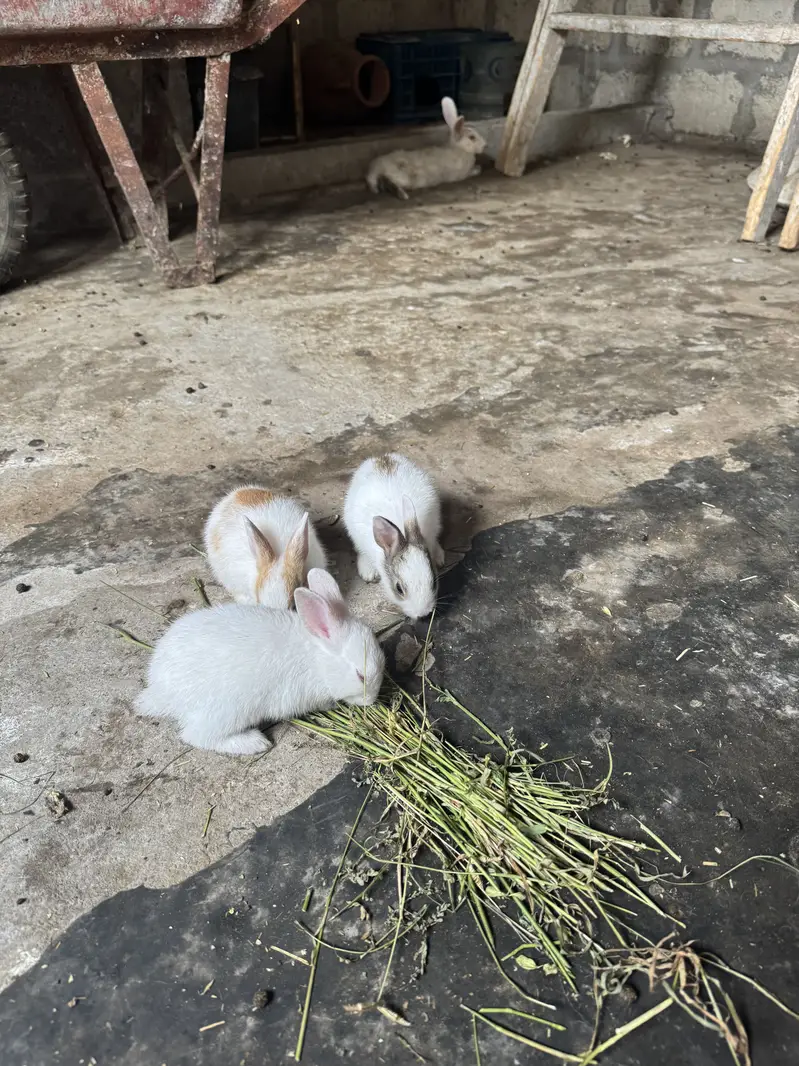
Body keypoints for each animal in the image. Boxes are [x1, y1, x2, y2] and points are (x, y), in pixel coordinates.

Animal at [135, 569, 385, 755]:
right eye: (360, 676)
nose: (371, 701)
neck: (317, 659)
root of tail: (160, 692)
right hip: (227, 711)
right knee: (196, 736)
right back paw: (254, 743)